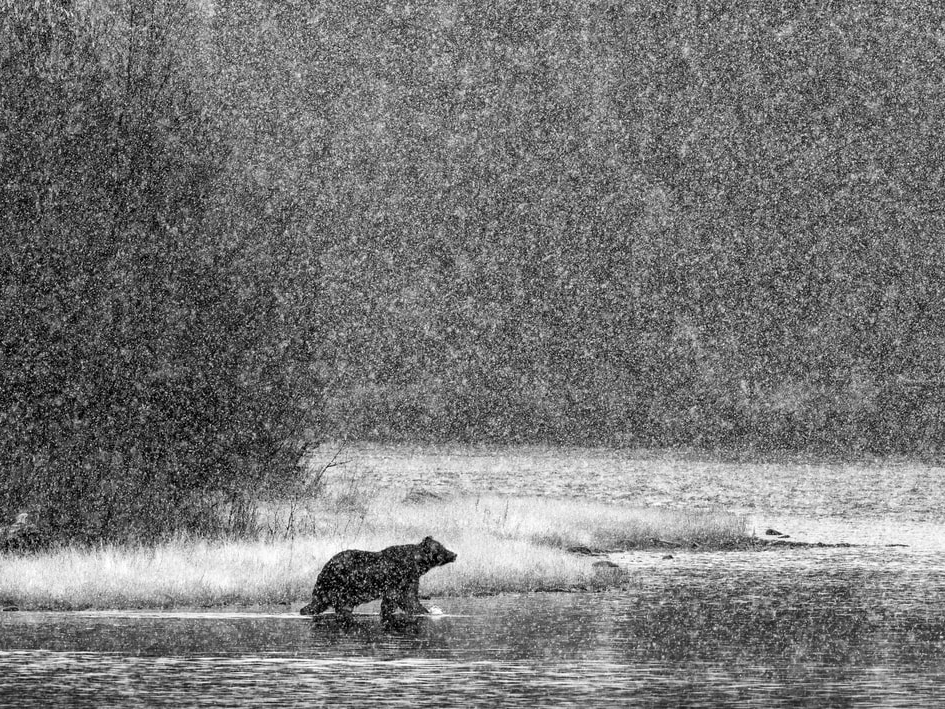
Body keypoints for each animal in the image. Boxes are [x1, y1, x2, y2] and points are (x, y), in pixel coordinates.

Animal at [300, 536, 457, 620]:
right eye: (441, 547)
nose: (454, 554)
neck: (417, 564)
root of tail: (325, 567)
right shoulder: (400, 577)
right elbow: (404, 599)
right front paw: (428, 612)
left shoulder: (410, 579)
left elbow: (407, 598)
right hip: (339, 585)